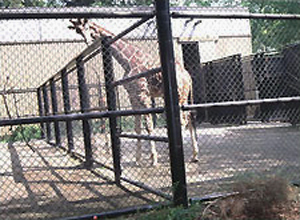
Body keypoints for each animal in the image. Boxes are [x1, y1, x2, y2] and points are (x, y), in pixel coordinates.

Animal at [68, 18, 199, 166]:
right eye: (78, 30)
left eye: (87, 26)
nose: (88, 41)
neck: (127, 61)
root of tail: (188, 76)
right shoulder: (133, 96)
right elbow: (137, 127)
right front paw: (138, 159)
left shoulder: (143, 94)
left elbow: (149, 126)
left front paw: (154, 158)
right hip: (182, 96)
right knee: (189, 117)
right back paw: (194, 155)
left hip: (180, 94)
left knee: (183, 120)